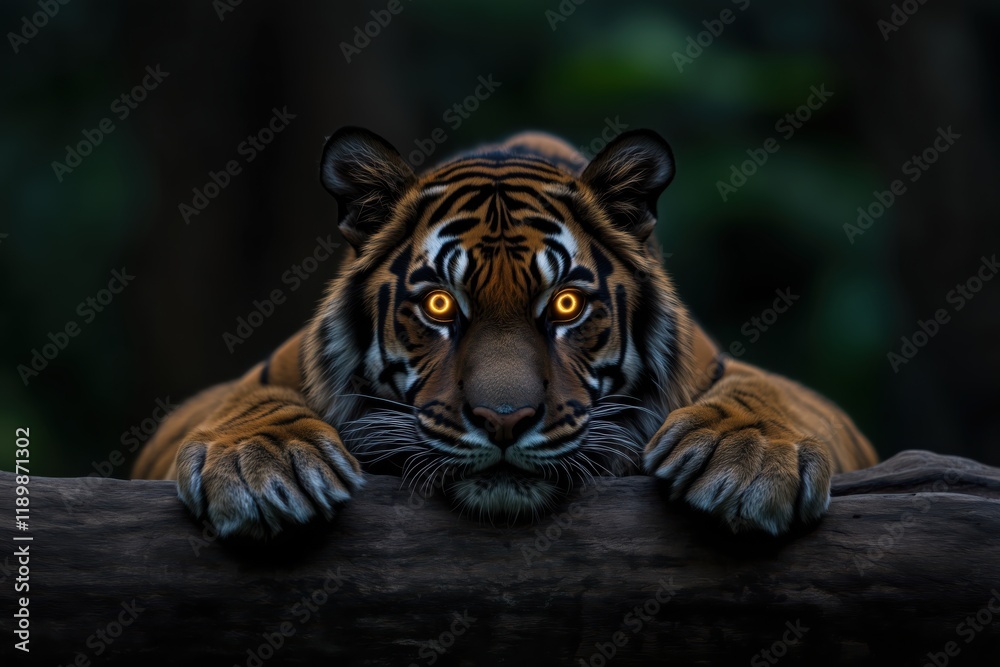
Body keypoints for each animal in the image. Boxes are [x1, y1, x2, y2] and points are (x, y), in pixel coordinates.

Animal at [132, 126, 877, 539]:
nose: (504, 419)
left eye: (568, 305)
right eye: (438, 305)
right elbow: (248, 403)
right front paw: (263, 466)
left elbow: (773, 397)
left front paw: (747, 462)